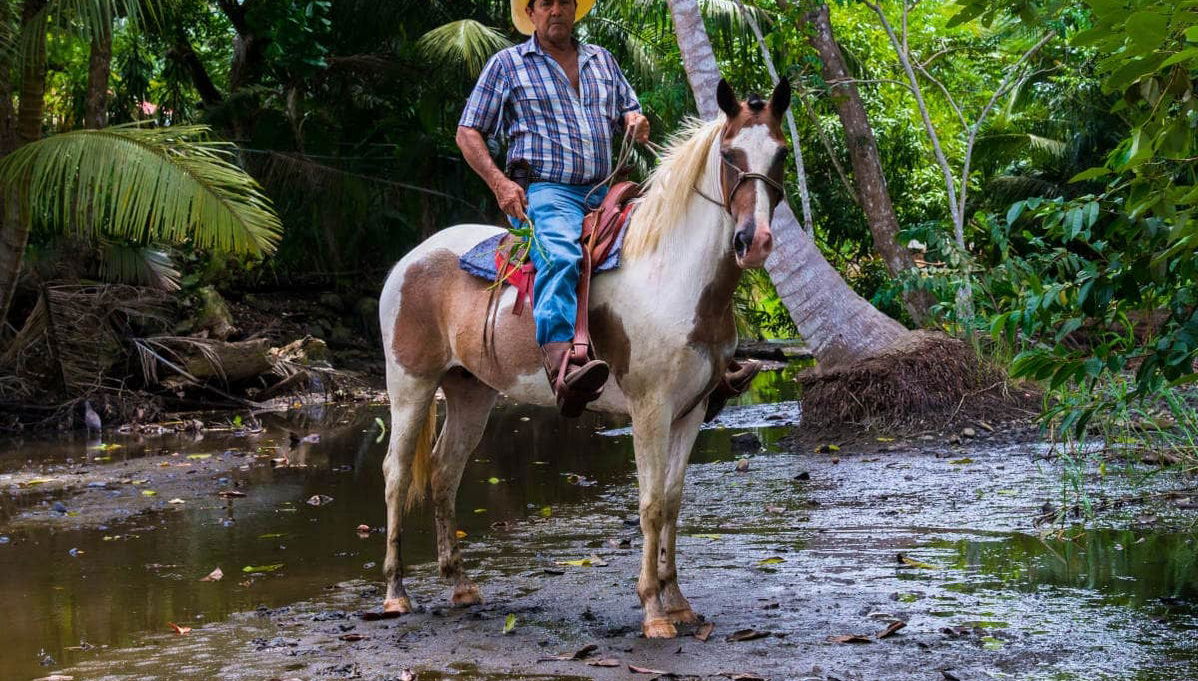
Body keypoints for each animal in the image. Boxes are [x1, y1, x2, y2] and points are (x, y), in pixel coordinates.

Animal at [378, 78, 791, 639]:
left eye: (781, 154)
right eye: (729, 155)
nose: (756, 241)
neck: (672, 273)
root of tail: (409, 259)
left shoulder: (692, 410)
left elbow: (674, 503)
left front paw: (678, 602)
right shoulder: (650, 408)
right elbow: (651, 504)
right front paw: (653, 611)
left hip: (470, 390)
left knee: (444, 471)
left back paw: (459, 585)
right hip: (411, 384)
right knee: (397, 474)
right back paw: (396, 593)